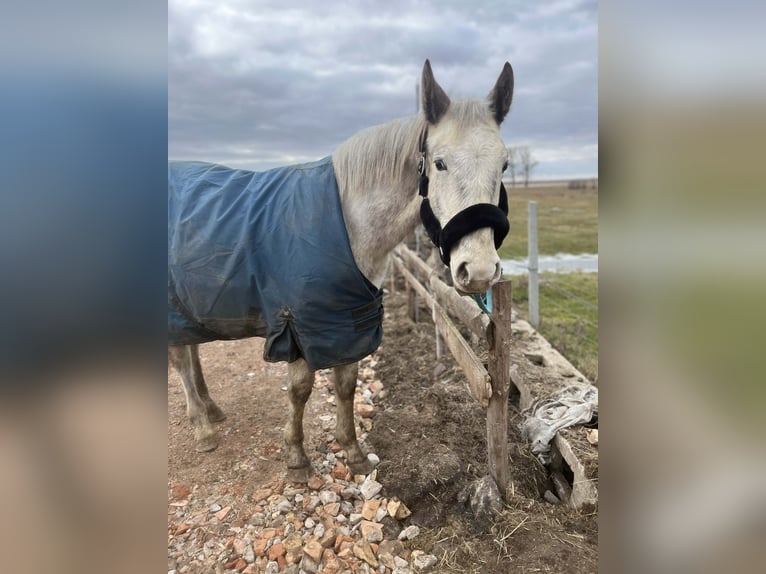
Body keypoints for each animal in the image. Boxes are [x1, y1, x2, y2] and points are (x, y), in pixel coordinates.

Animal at [168, 60, 514, 483]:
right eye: (440, 162)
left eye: (504, 164)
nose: (478, 270)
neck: (345, 223)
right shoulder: (298, 324)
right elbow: (300, 390)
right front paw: (297, 459)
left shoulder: (348, 323)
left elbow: (346, 384)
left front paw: (353, 452)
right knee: (182, 359)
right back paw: (202, 427)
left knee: (192, 350)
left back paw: (210, 408)